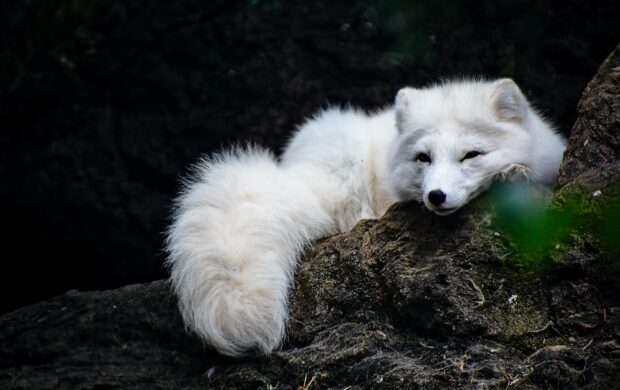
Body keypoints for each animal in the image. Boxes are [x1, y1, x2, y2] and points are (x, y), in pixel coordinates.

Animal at [165, 78, 568, 356]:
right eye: (423, 157)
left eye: (471, 155)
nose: (435, 196)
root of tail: (294, 169)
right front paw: (509, 175)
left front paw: (512, 173)